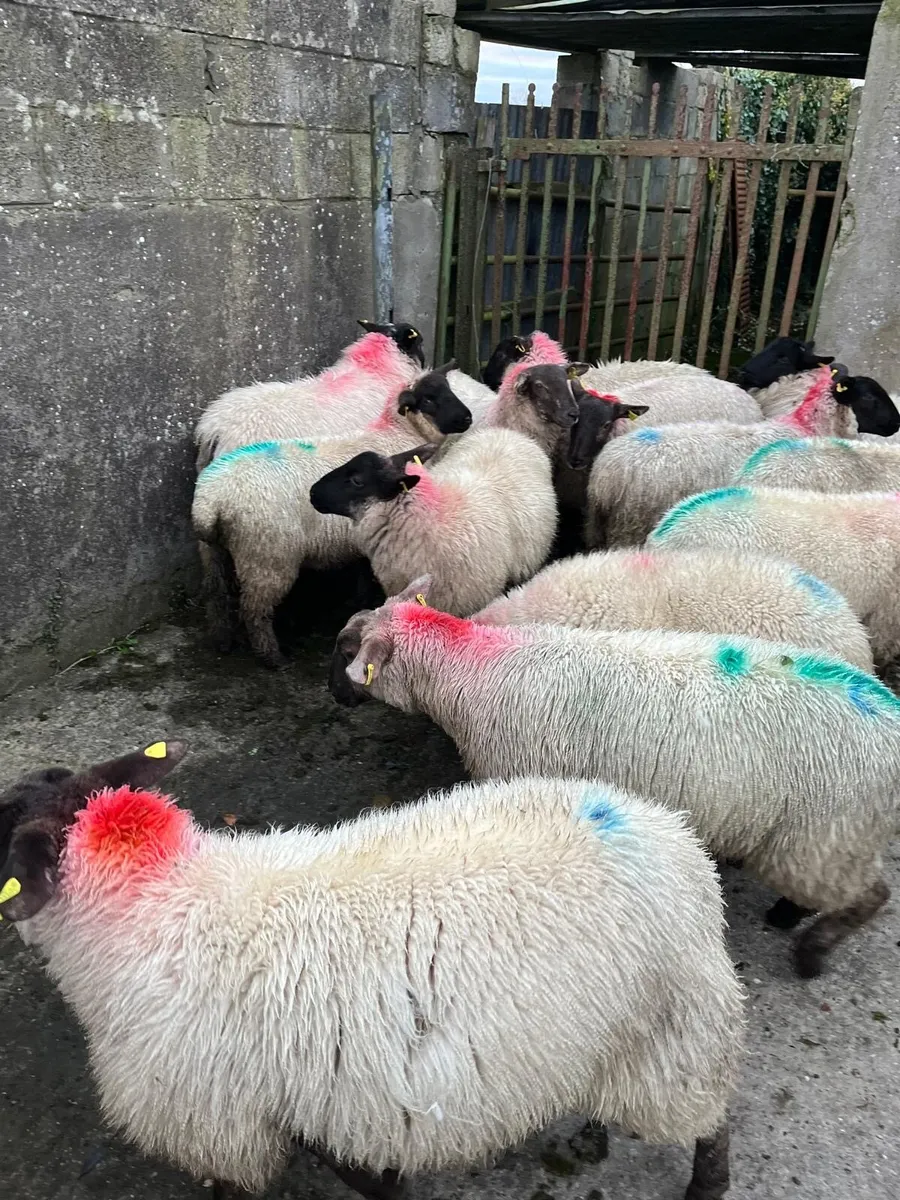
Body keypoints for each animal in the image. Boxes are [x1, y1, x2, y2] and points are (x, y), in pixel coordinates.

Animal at [0, 742, 745, 1200]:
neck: (154, 901)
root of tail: (678, 840)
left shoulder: (218, 1120)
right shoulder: (291, 1097)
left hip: (674, 1027)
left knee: (708, 1121)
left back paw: (705, 1184)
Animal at [191, 368, 472, 669]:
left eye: (449, 389)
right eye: (429, 399)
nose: (468, 418)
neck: (398, 433)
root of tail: (211, 501)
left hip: (213, 549)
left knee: (215, 591)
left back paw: (222, 641)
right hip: (266, 556)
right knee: (255, 610)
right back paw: (272, 657)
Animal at [331, 578, 900, 978]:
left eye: (347, 653)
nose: (334, 696)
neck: (470, 667)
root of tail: (888, 713)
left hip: (822, 835)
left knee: (872, 894)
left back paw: (809, 951)